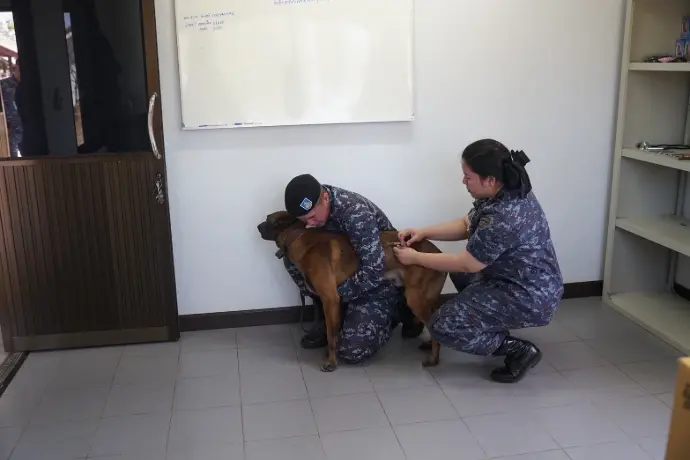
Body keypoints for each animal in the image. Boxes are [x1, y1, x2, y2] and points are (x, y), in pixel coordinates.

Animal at [257, 210, 448, 372]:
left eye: (267, 219)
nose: (257, 226)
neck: (299, 237)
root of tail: (439, 253)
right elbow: (333, 332)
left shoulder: (330, 298)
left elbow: (331, 334)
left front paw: (331, 362)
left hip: (415, 298)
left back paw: (433, 358)